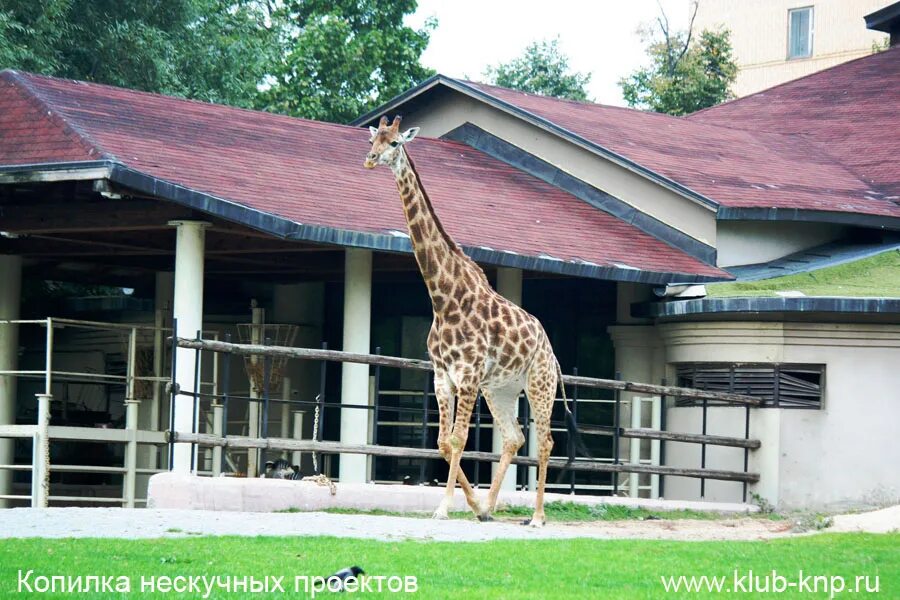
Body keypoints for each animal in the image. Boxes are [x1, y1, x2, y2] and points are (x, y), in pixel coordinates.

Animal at [364, 116, 580, 524]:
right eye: (374, 140)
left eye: (396, 142)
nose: (369, 160)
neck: (443, 297)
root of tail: (552, 351)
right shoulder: (443, 377)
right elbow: (442, 442)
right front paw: (474, 505)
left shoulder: (467, 375)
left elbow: (458, 438)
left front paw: (444, 508)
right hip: (501, 389)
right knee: (514, 437)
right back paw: (490, 508)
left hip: (539, 384)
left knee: (545, 440)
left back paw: (538, 516)